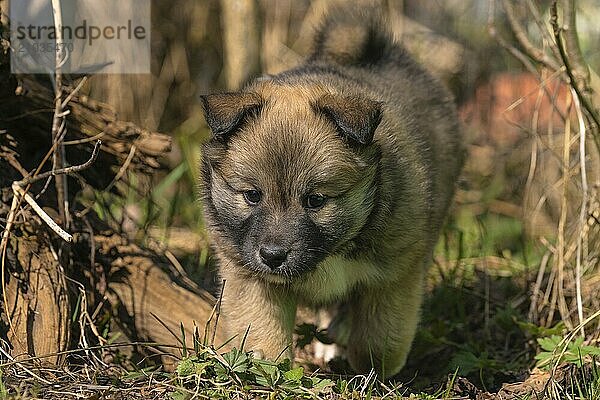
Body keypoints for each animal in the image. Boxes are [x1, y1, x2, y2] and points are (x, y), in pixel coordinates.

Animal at [199, 9, 462, 378]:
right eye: (252, 195)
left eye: (315, 200)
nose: (273, 256)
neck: (333, 250)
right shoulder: (249, 276)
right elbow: (263, 334)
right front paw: (266, 371)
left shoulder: (394, 275)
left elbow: (378, 340)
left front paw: (372, 375)